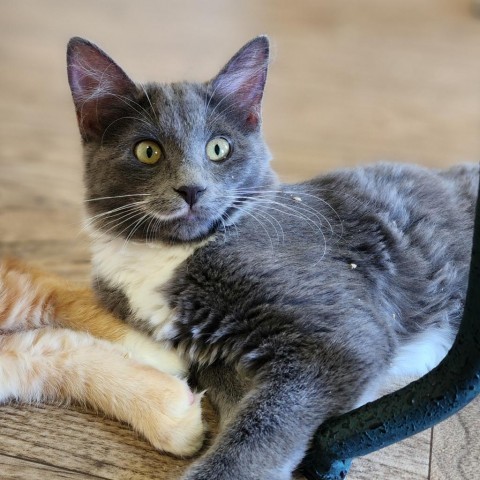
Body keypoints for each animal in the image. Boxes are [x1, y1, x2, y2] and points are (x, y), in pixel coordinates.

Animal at [65, 35, 478, 478]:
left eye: (218, 148)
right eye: (147, 151)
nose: (192, 189)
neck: (169, 253)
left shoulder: (342, 340)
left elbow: (264, 424)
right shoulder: (211, 356)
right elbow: (236, 396)